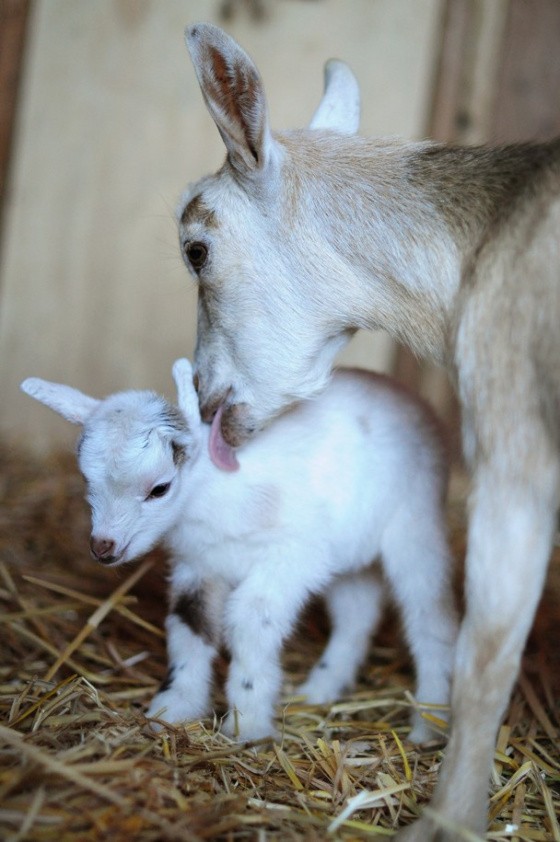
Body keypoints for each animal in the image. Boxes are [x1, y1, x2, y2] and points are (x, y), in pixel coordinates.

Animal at [22, 359, 457, 743]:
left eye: (160, 488)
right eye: (86, 478)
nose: (104, 547)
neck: (213, 492)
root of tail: (406, 393)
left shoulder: (291, 556)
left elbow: (249, 622)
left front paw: (247, 723)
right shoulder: (198, 566)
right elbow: (190, 625)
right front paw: (173, 707)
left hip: (415, 524)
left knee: (428, 615)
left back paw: (430, 722)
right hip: (350, 549)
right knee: (357, 614)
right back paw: (321, 688)